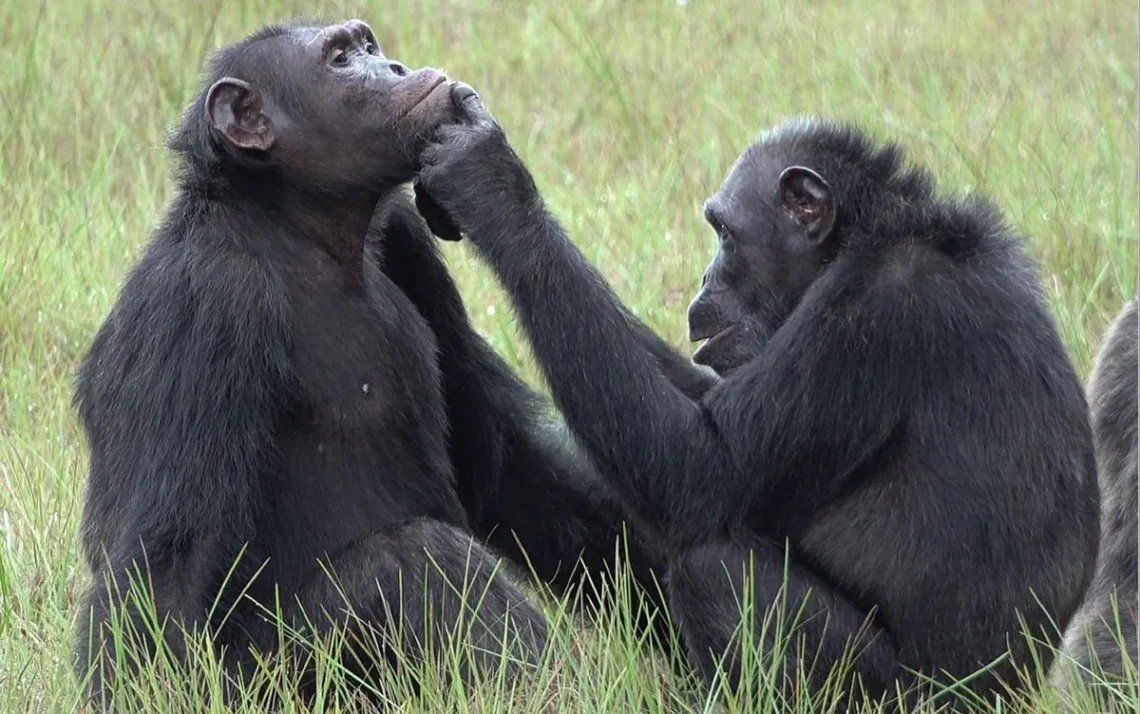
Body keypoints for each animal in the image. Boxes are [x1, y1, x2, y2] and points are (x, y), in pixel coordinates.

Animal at [73, 20, 665, 707]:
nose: (394, 67)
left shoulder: (409, 241)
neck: (301, 228)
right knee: (415, 559)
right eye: (340, 59)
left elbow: (505, 465)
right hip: (275, 684)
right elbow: (167, 560)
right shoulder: (203, 302)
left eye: (367, 45)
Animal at [417, 90, 1103, 707]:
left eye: (724, 232)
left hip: (892, 698)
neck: (864, 238)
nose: (704, 277)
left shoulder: (874, 316)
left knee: (714, 569)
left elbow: (704, 468)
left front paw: (490, 183)